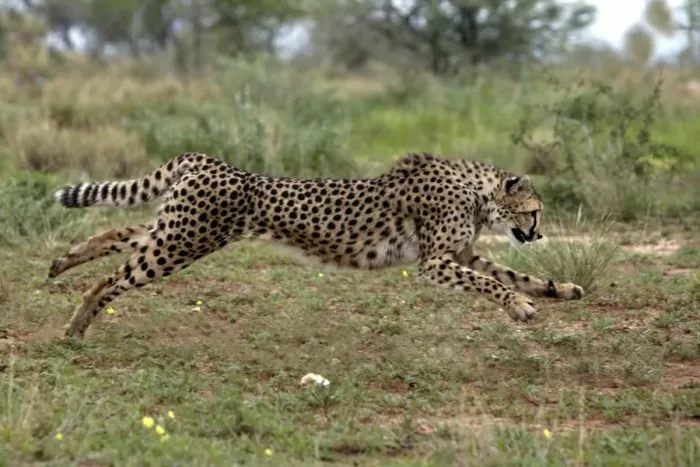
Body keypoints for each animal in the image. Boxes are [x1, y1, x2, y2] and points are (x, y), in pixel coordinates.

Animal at [49, 152, 584, 339]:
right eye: (535, 212)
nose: (538, 233)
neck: (477, 192)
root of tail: (210, 160)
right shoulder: (434, 263)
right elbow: (490, 283)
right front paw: (518, 307)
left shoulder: (462, 254)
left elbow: (509, 273)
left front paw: (558, 290)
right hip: (184, 241)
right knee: (111, 279)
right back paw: (75, 325)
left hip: (180, 231)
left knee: (120, 235)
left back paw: (63, 262)